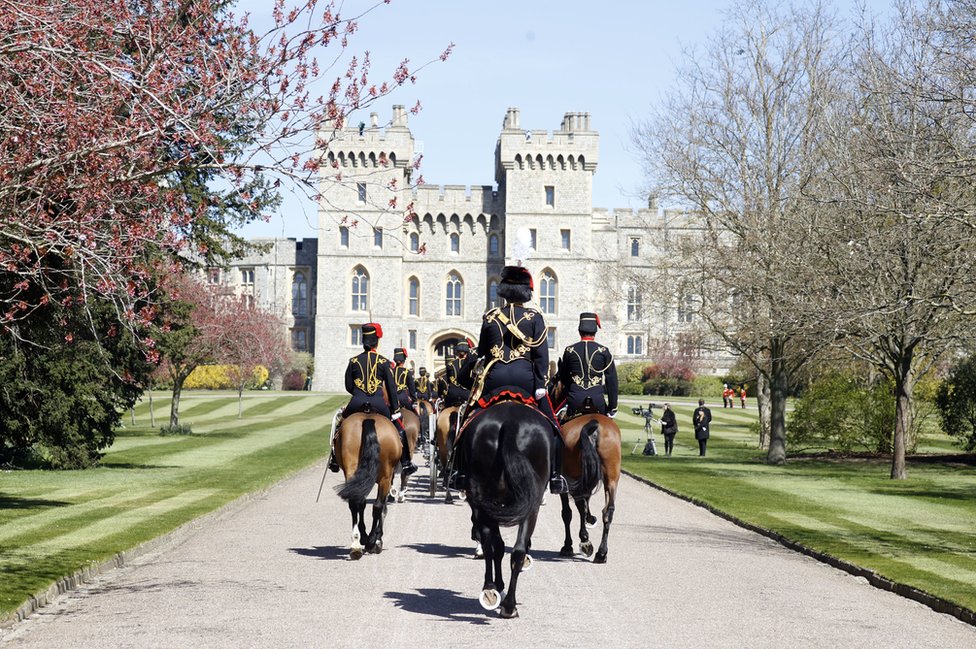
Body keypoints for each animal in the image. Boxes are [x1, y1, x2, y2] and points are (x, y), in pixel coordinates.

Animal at [332, 412, 400, 560]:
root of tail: (368, 418)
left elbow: (362, 505)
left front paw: (364, 537)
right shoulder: (387, 480)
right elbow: (382, 508)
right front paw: (377, 540)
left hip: (352, 471)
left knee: (355, 503)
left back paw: (356, 544)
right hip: (385, 478)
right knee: (378, 506)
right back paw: (371, 541)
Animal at [456, 400, 552, 616]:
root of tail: (510, 422)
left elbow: (495, 545)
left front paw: (495, 585)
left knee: (494, 543)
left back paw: (493, 591)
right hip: (531, 504)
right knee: (517, 550)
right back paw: (508, 604)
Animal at [548, 380, 624, 560]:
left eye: (553, 383)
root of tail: (593, 424)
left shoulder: (567, 481)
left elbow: (567, 513)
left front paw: (570, 545)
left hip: (573, 476)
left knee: (578, 507)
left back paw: (585, 542)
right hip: (611, 478)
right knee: (608, 511)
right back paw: (602, 553)